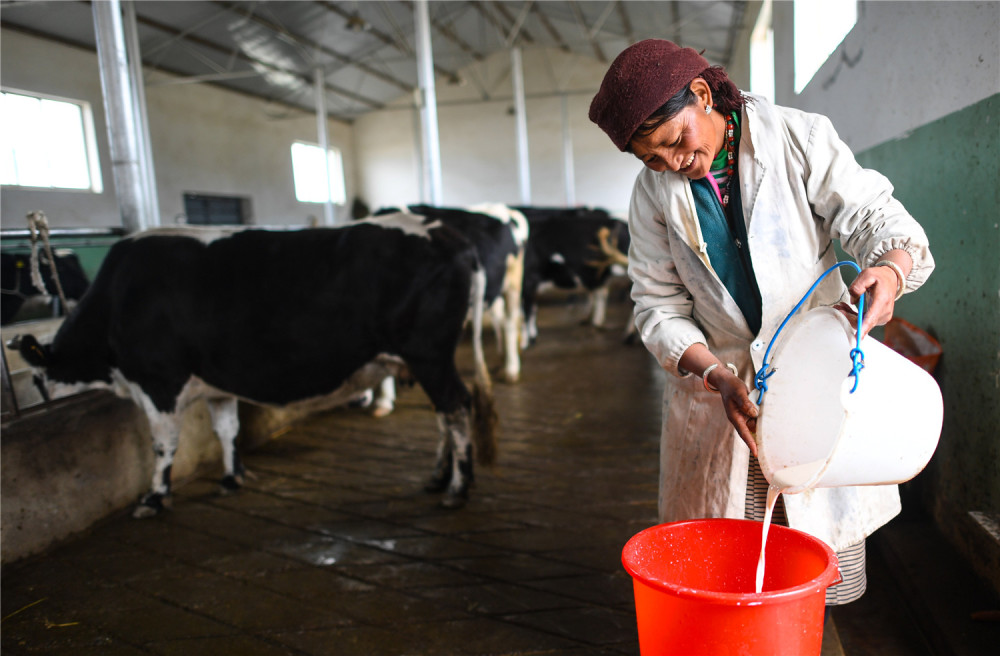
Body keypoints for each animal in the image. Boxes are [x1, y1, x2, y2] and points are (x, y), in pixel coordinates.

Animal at [13, 218, 498, 516]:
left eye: (35, 382)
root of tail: (444, 231)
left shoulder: (158, 380)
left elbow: (164, 445)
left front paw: (154, 498)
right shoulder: (216, 385)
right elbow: (227, 430)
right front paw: (233, 477)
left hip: (427, 354)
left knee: (456, 408)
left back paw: (457, 489)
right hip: (429, 359)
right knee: (445, 415)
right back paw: (439, 478)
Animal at [516, 206, 632, 344]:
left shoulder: (528, 281)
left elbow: (526, 315)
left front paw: (526, 342)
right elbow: (532, 311)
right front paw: (532, 336)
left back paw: (627, 335)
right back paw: (596, 322)